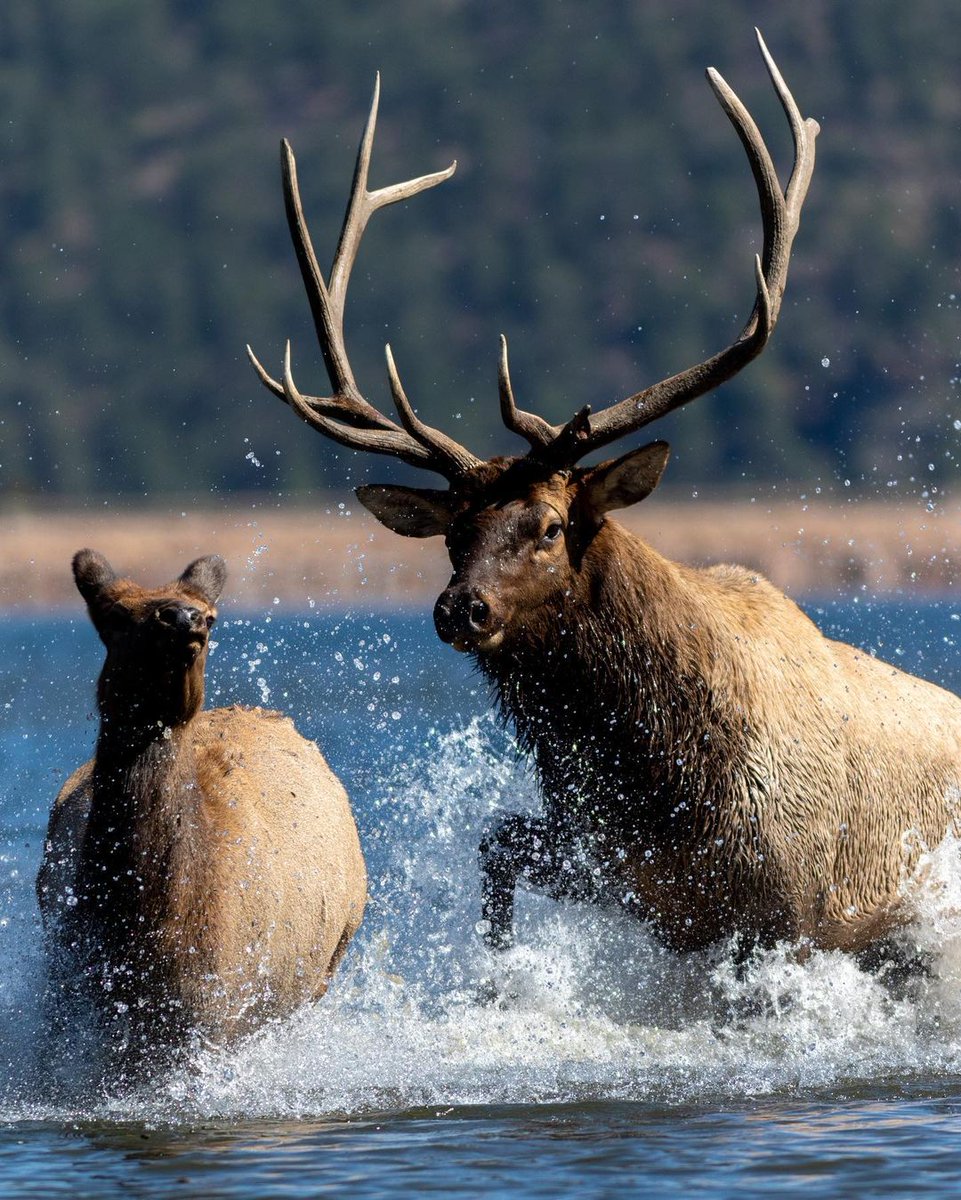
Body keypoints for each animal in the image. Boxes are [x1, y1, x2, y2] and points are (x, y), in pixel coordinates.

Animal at [37, 550, 367, 1063]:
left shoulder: (207, 1019)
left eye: (211, 617)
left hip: (325, 965)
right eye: (115, 615)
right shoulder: (72, 1003)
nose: (182, 618)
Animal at [246, 32, 961, 969]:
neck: (664, 787)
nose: (460, 608)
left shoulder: (800, 908)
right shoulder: (617, 868)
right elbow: (494, 846)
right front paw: (498, 974)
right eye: (452, 534)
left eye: (550, 526)